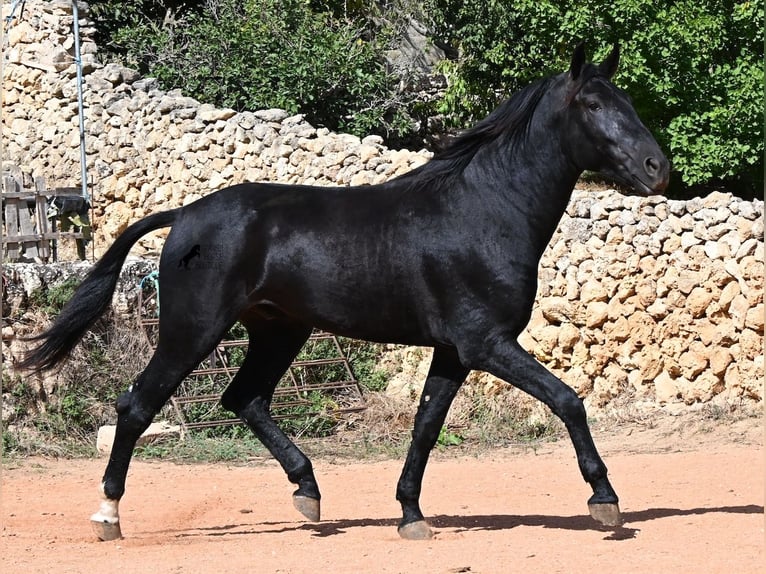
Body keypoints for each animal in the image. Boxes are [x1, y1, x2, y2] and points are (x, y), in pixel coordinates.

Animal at [19, 43, 669, 541]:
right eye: (593, 105)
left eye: (630, 103)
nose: (656, 167)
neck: (484, 209)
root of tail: (185, 217)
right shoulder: (486, 344)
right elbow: (568, 400)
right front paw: (606, 500)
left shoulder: (454, 351)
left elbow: (426, 425)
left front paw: (410, 515)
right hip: (192, 331)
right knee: (137, 406)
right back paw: (108, 516)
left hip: (279, 330)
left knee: (244, 399)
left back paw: (309, 493)